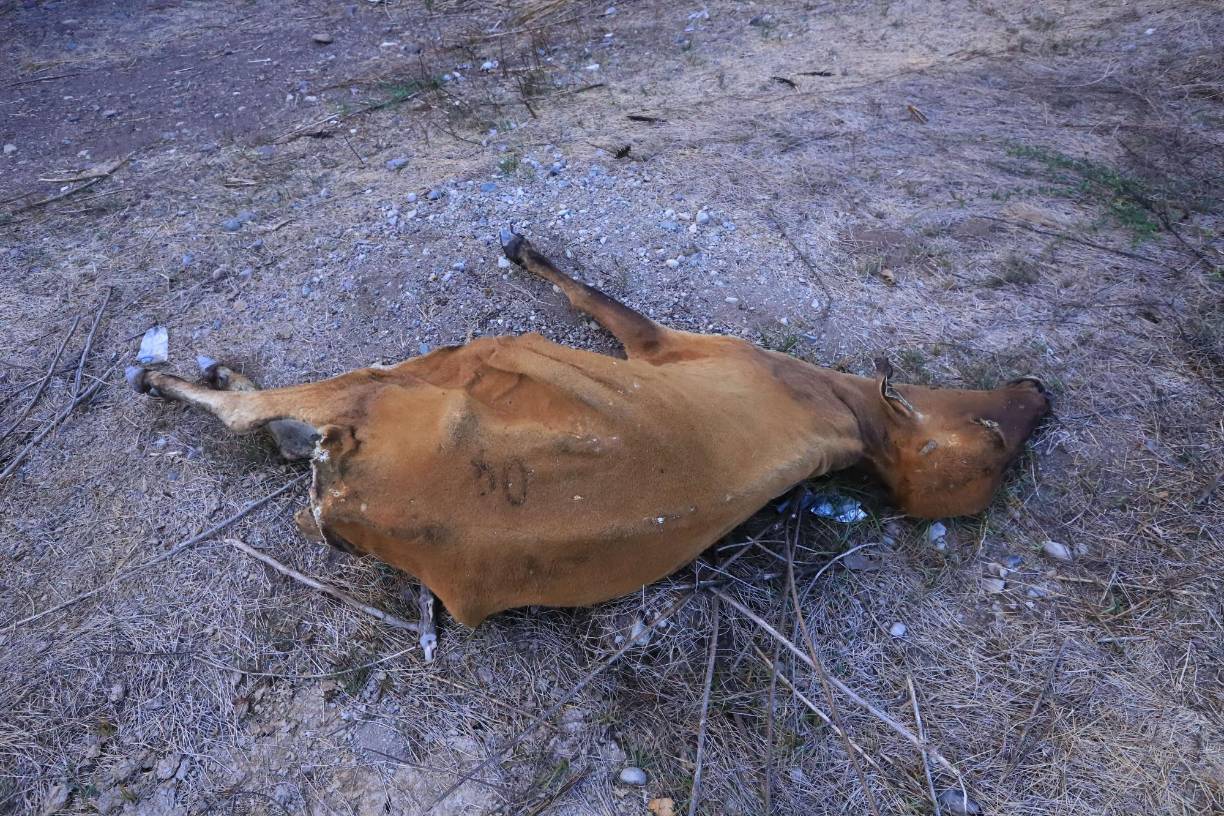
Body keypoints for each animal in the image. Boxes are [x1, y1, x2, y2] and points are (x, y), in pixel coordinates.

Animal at [128, 228, 1049, 640]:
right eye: (997, 435)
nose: (1042, 392)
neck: (842, 417)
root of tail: (360, 509)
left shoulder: (665, 346)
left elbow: (594, 296)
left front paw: (526, 250)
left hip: (460, 358)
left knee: (261, 416)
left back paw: (181, 380)